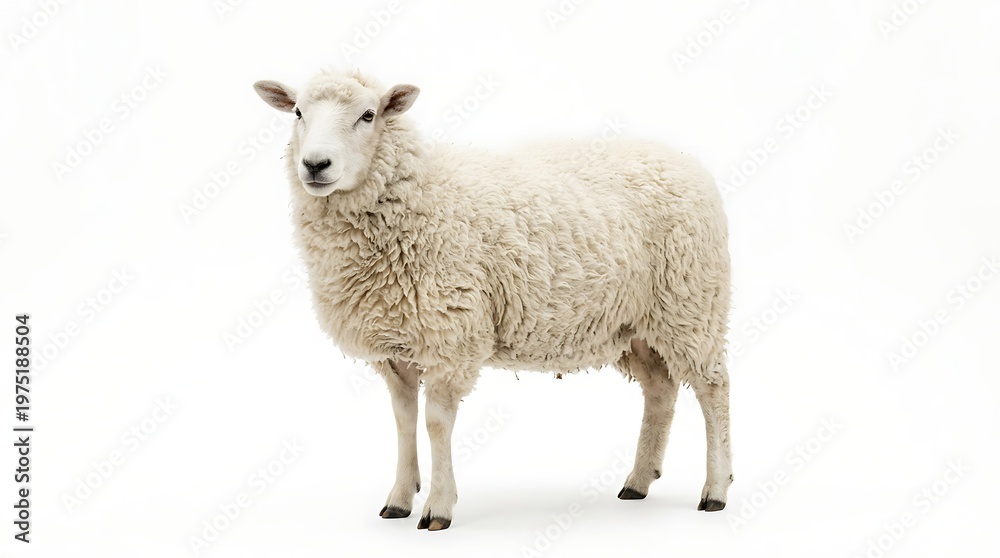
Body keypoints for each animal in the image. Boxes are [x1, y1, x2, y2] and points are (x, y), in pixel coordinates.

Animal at [252, 68, 733, 531]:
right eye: (297, 112)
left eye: (368, 115)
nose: (315, 164)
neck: (421, 195)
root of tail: (684, 161)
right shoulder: (396, 345)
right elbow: (403, 420)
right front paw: (400, 498)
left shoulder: (451, 336)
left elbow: (436, 423)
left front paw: (438, 507)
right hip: (638, 325)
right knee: (660, 390)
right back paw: (638, 481)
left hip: (691, 304)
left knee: (713, 390)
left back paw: (715, 489)